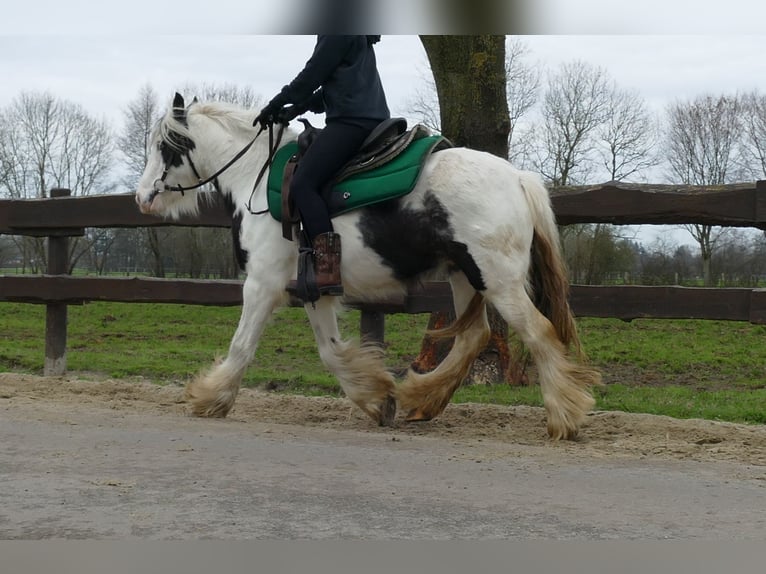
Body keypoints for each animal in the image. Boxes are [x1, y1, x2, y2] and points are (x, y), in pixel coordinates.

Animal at [135, 94, 604, 440]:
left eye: (165, 147)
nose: (142, 198)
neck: (257, 174)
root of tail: (518, 178)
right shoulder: (313, 289)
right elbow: (331, 350)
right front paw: (376, 397)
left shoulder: (262, 284)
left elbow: (242, 345)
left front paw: (209, 397)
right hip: (464, 275)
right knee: (473, 337)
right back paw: (420, 398)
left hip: (498, 280)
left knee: (539, 333)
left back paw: (563, 417)